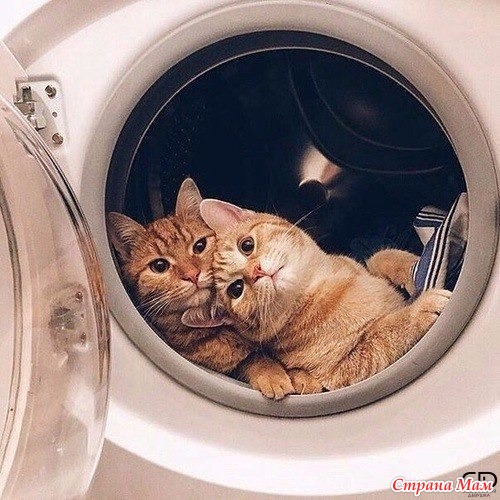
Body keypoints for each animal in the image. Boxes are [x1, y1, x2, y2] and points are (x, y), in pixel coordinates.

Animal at [200, 199, 451, 398]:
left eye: (247, 245)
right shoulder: (344, 368)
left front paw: (410, 266)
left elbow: (380, 256)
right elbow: (389, 332)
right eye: (236, 289)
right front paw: (421, 308)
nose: (257, 272)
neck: (322, 283)